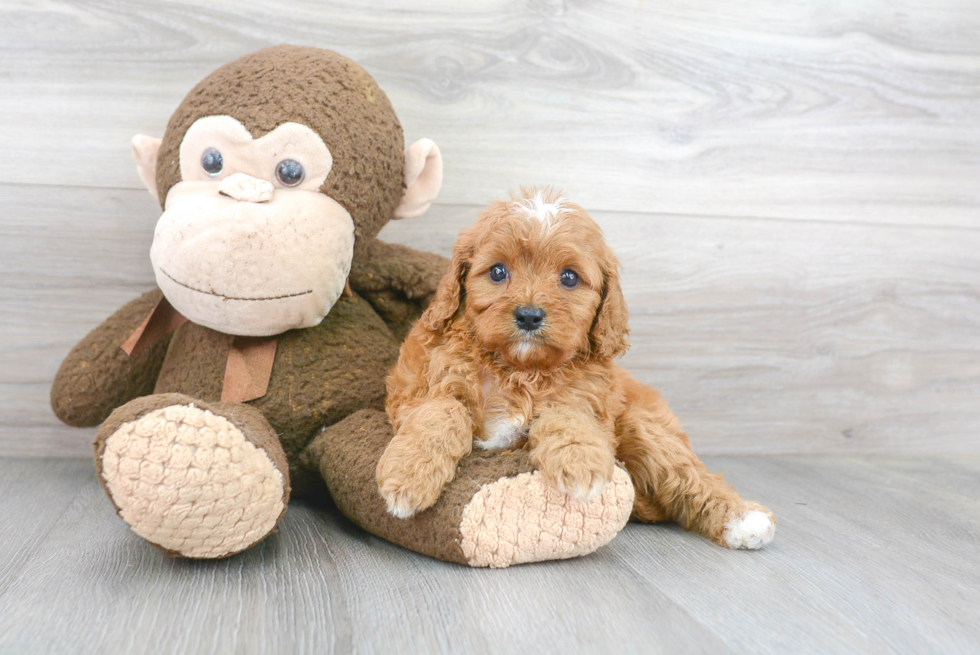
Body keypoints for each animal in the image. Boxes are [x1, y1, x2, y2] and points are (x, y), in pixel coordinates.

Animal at [378, 188, 776, 548]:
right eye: (497, 272)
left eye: (569, 277)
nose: (529, 315)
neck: (519, 368)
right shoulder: (419, 390)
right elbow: (441, 411)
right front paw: (409, 476)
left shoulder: (588, 402)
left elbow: (566, 416)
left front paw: (580, 462)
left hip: (646, 426)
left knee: (689, 476)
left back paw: (743, 520)